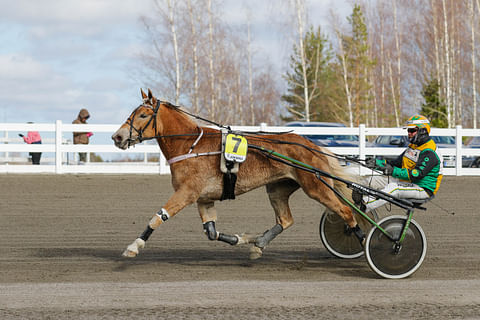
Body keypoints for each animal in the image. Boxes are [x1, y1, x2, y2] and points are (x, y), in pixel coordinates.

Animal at [112, 89, 366, 258]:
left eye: (143, 115)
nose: (117, 137)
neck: (190, 145)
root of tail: (311, 145)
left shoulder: (187, 193)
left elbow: (157, 217)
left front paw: (133, 246)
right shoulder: (204, 199)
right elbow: (211, 232)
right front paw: (245, 238)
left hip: (316, 186)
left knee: (346, 211)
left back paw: (366, 242)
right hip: (277, 189)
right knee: (285, 220)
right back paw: (259, 243)